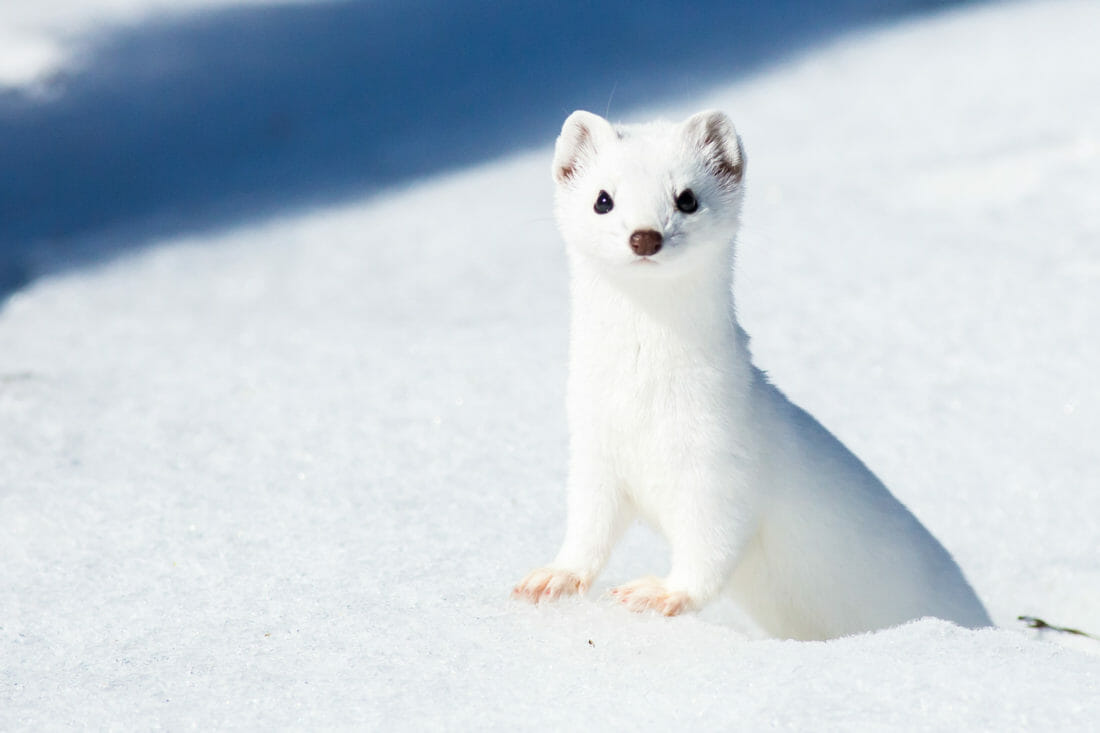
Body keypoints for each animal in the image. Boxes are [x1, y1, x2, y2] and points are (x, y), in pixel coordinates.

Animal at [510, 110, 994, 638]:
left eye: (686, 197)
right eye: (603, 198)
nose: (645, 236)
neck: (645, 403)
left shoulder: (724, 459)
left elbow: (711, 546)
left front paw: (660, 593)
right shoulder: (594, 447)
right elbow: (588, 527)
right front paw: (553, 577)